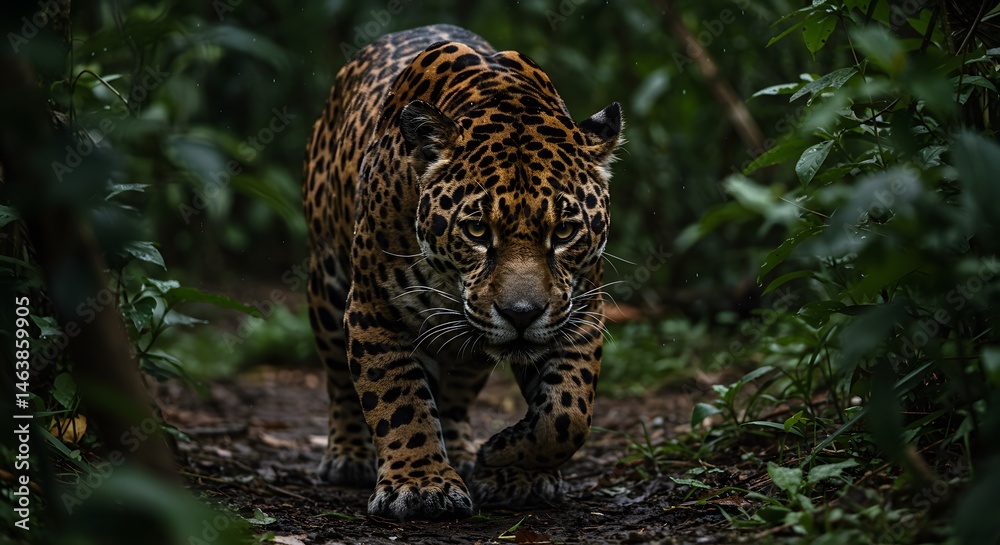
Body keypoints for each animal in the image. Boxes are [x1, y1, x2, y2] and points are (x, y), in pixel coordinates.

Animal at [302, 24, 622, 521]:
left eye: (565, 231)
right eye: (476, 230)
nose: (522, 314)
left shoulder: (581, 310)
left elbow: (567, 413)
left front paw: (508, 463)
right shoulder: (374, 309)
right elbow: (397, 399)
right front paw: (420, 484)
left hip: (470, 354)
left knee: (455, 396)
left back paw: (465, 451)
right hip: (328, 286)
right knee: (339, 380)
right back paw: (349, 456)